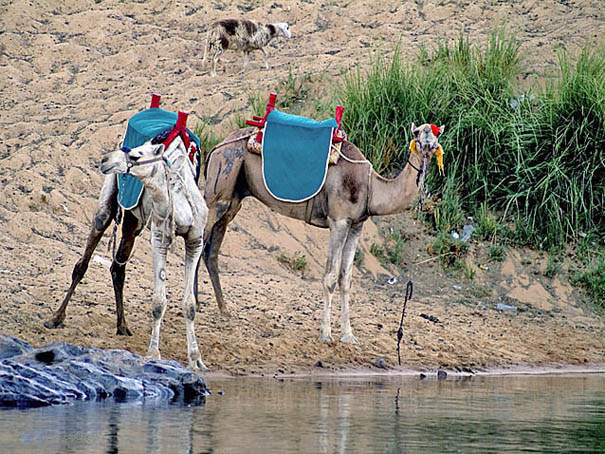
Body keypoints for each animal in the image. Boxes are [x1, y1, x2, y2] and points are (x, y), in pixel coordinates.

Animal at [100, 137, 209, 370]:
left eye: (136, 155)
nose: (105, 160)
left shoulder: (196, 241)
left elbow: (190, 304)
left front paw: (196, 359)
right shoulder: (159, 238)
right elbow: (159, 302)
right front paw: (153, 353)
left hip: (133, 223)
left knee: (116, 266)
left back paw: (122, 327)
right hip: (107, 206)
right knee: (84, 261)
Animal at [203, 122, 444, 342]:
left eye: (436, 134)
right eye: (417, 133)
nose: (428, 145)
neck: (371, 186)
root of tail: (218, 145)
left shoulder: (356, 225)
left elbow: (346, 279)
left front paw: (348, 336)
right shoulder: (338, 221)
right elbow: (329, 277)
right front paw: (326, 334)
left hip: (233, 198)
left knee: (211, 252)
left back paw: (224, 309)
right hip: (220, 186)